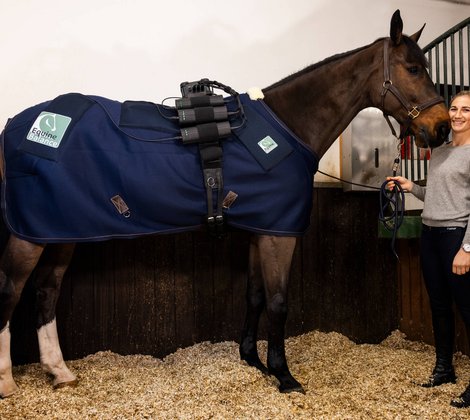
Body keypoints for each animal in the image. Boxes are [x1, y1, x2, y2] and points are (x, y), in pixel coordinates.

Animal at [0, 9, 450, 398]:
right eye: (413, 69)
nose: (442, 127)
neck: (289, 126)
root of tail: (17, 127)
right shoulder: (280, 235)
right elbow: (279, 302)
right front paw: (285, 376)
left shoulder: (261, 230)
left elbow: (254, 295)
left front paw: (252, 360)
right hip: (28, 236)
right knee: (10, 291)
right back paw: (7, 381)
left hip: (59, 231)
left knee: (45, 291)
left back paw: (60, 372)